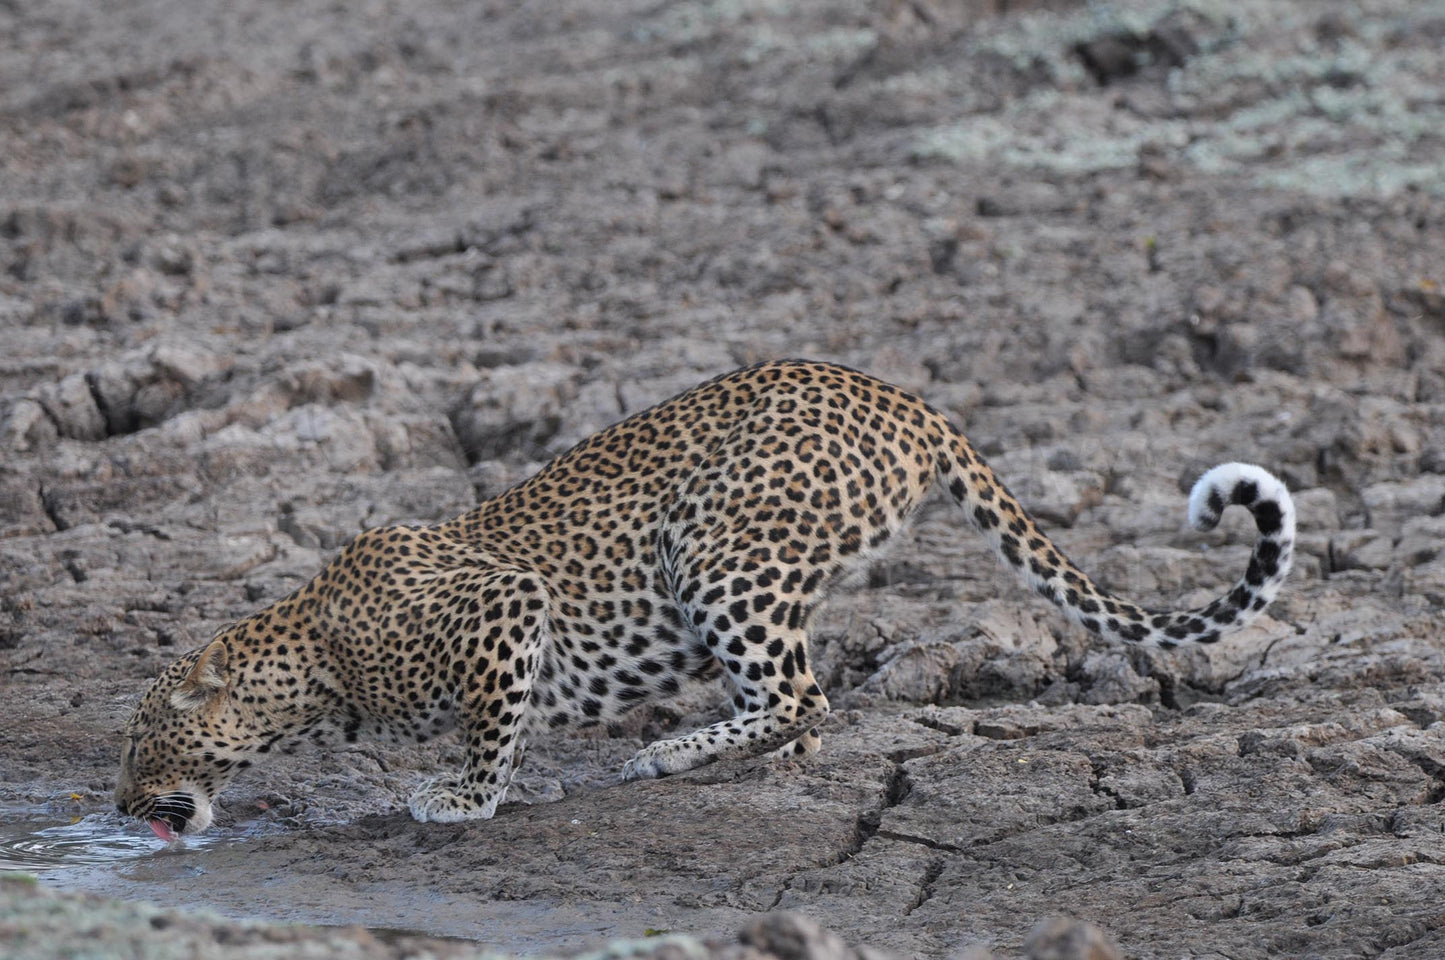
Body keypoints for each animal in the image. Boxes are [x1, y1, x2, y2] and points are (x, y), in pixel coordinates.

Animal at [115, 355, 1300, 838]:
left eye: (138, 744)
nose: (119, 810)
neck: (314, 664)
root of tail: (907, 399)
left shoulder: (503, 607)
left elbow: (489, 732)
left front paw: (461, 796)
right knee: (801, 701)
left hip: (718, 551)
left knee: (803, 696)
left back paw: (668, 752)